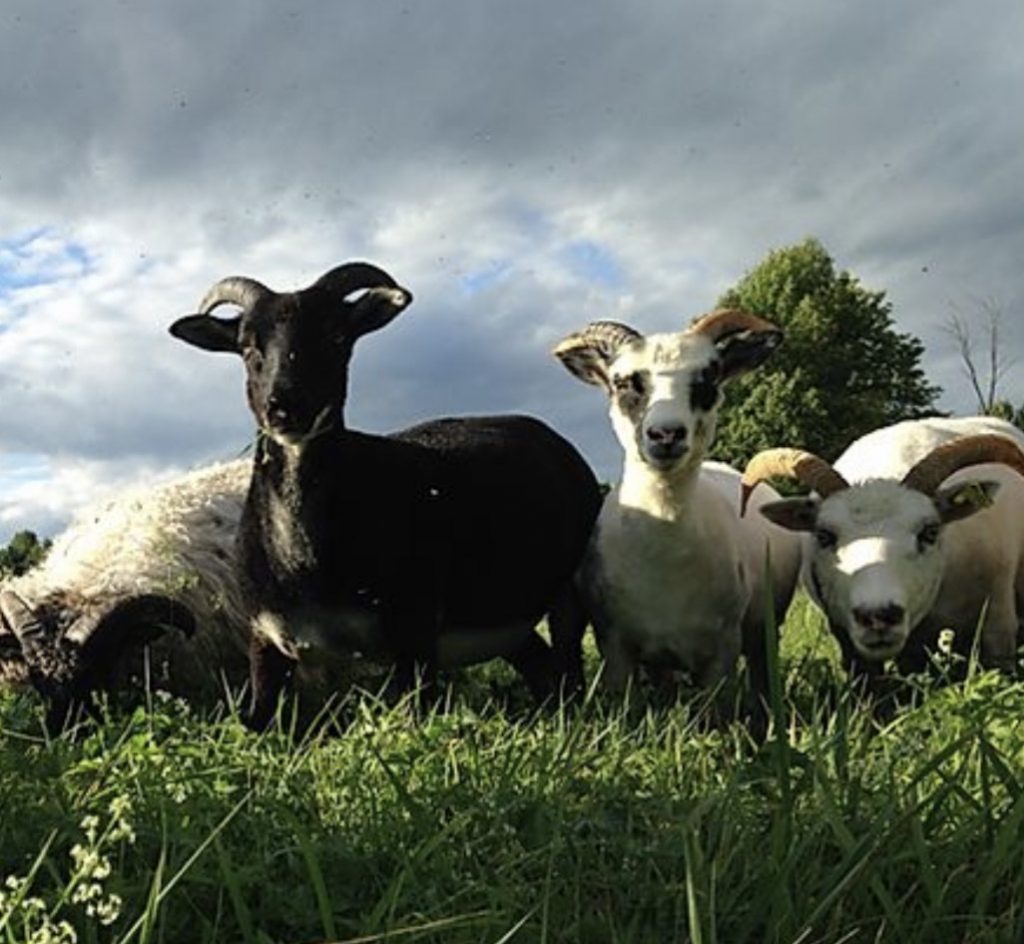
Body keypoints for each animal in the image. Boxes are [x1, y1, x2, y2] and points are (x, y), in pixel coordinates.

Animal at [169, 261, 603, 729]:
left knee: (570, 669)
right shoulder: (264, 641)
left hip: (567, 592)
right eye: (248, 349)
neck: (306, 564)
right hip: (505, 617)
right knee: (542, 668)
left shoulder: (415, 629)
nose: (285, 407)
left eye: (336, 337)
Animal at [552, 312, 801, 704]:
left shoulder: (722, 653)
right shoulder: (615, 647)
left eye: (709, 378)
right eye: (622, 382)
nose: (666, 434)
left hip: (765, 628)